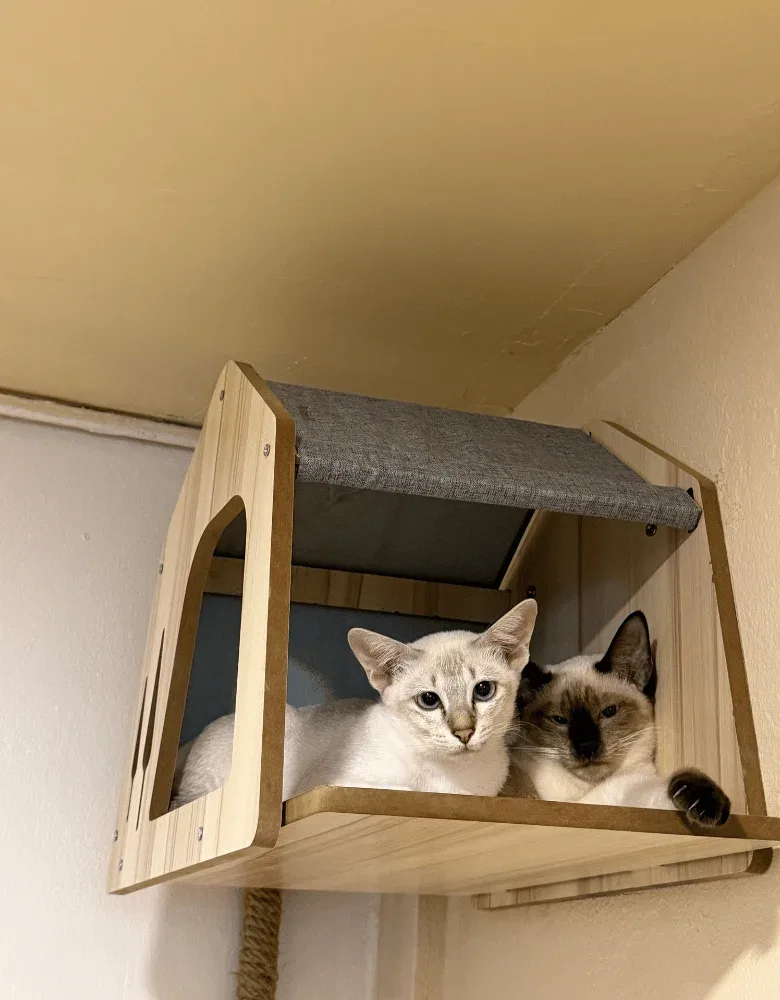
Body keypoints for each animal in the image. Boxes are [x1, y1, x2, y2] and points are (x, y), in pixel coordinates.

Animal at [171, 598, 537, 807]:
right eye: (429, 700)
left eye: (483, 690)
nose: (464, 733)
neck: (458, 781)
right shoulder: (327, 785)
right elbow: (403, 790)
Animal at [504, 610, 731, 828]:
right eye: (559, 719)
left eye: (609, 711)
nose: (586, 746)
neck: (583, 793)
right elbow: (513, 779)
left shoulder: (630, 796)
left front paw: (703, 801)